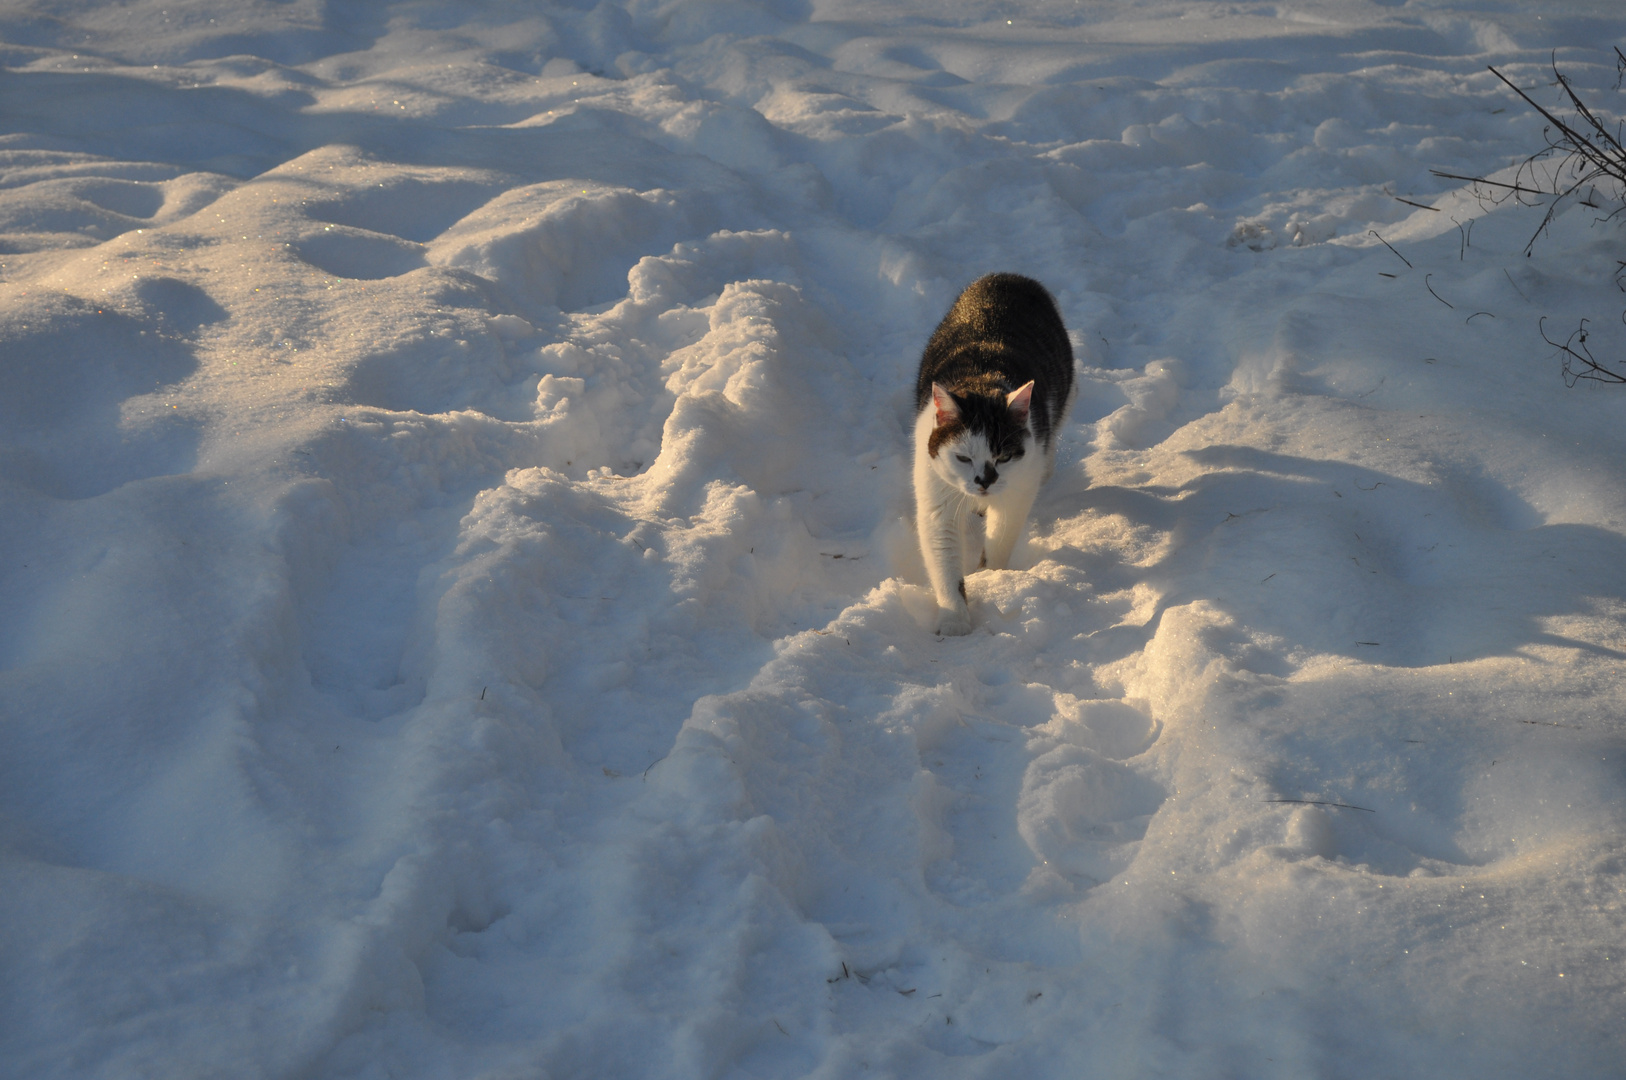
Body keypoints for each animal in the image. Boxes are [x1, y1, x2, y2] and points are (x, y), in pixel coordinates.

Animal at [910, 274, 1073, 637]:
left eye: (1003, 458)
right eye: (963, 458)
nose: (984, 481)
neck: (980, 382)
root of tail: (1008, 276)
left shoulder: (1017, 490)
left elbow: (1000, 540)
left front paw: (992, 579)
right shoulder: (936, 497)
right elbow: (944, 559)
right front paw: (954, 619)